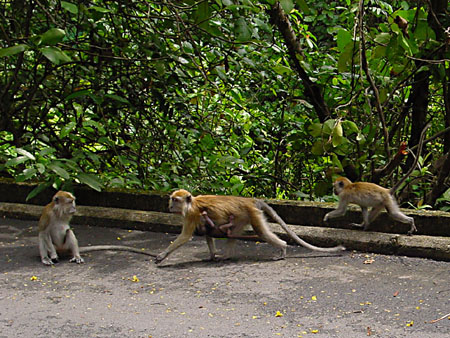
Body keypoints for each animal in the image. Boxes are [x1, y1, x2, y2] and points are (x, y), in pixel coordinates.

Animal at [155, 190, 344, 264]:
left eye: (175, 200)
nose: (169, 206)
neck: (191, 204)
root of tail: (250, 201)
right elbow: (207, 234)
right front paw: (212, 255)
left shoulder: (192, 214)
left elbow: (185, 237)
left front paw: (162, 256)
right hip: (241, 216)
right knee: (232, 235)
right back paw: (227, 255)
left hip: (253, 214)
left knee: (262, 233)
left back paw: (282, 248)